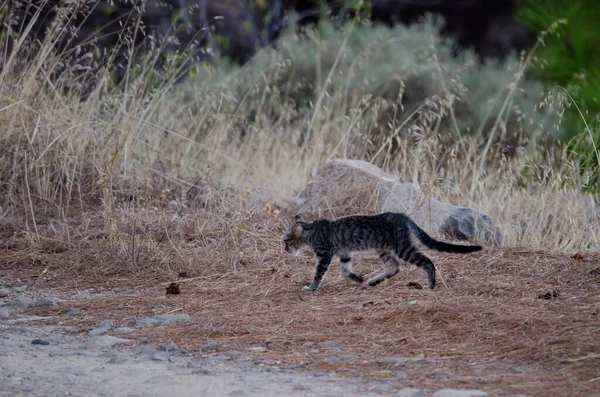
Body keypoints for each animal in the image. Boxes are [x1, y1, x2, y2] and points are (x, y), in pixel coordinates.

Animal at [284, 212, 486, 290]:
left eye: (286, 240)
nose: (285, 249)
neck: (311, 231)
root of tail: (402, 216)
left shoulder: (325, 254)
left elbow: (319, 273)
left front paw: (312, 287)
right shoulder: (344, 253)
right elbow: (345, 271)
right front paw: (357, 279)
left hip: (403, 248)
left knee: (427, 261)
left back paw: (431, 284)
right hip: (385, 249)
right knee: (394, 267)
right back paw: (373, 281)